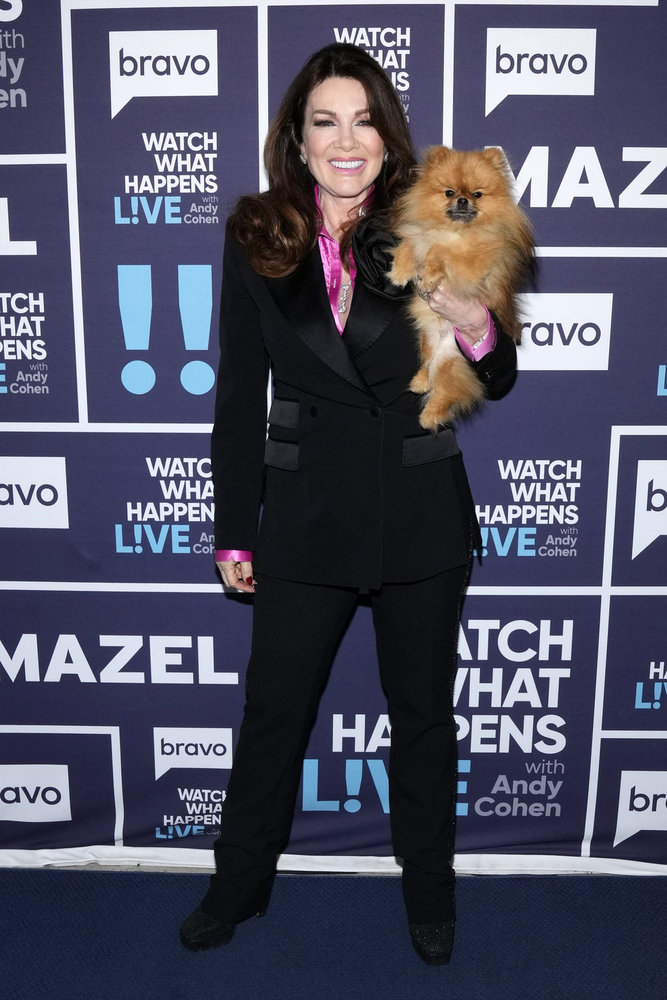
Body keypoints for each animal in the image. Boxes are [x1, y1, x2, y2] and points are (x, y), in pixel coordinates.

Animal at [388, 146, 536, 430]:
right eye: (449, 192)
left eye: (477, 194)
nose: (463, 200)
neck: (455, 231)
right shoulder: (419, 235)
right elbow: (411, 244)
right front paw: (399, 271)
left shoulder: (471, 264)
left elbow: (439, 251)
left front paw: (430, 274)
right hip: (427, 342)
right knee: (428, 365)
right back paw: (420, 381)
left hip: (452, 361)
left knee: (449, 392)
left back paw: (429, 417)